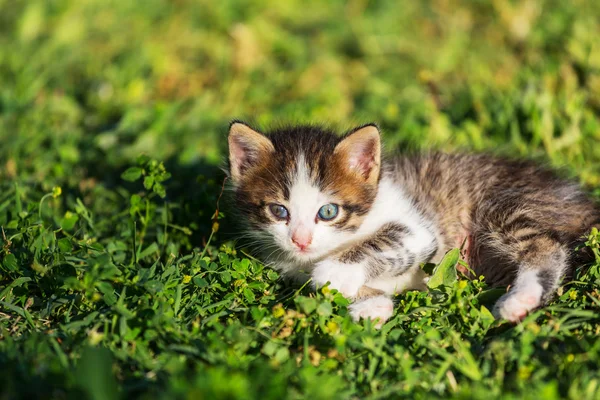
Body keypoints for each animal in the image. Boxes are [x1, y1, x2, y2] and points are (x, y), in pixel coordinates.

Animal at [226, 122, 600, 324]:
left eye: (328, 212)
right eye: (279, 211)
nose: (301, 240)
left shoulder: (418, 229)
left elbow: (382, 243)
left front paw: (335, 273)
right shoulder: (290, 264)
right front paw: (370, 305)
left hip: (506, 207)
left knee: (546, 245)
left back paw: (519, 300)